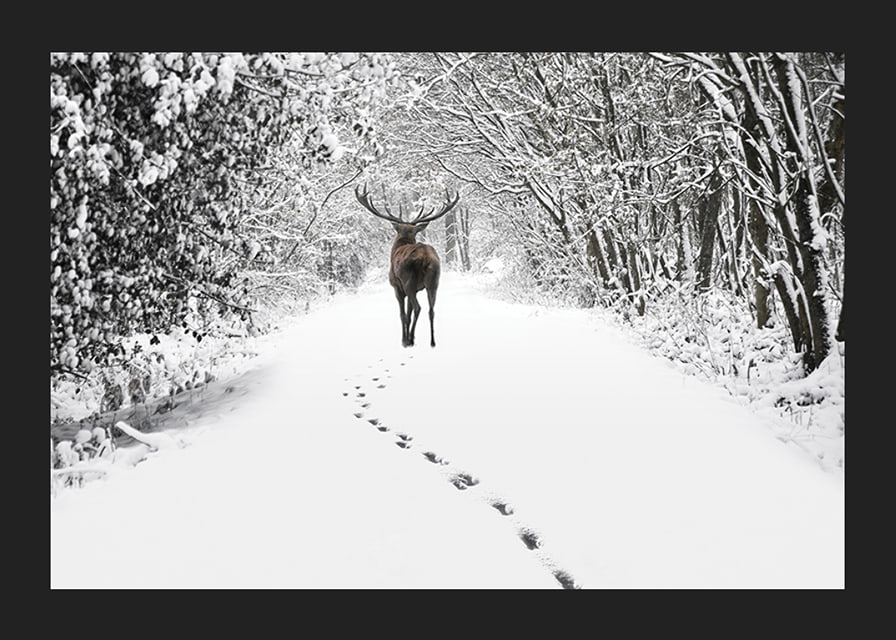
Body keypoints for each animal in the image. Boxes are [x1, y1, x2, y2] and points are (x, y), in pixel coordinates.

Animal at [355, 183, 460, 348]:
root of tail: (425, 257)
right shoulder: (416, 289)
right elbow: (409, 314)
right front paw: (412, 337)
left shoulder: (397, 287)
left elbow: (403, 314)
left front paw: (404, 339)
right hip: (434, 281)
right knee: (431, 310)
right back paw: (432, 342)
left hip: (409, 280)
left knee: (418, 308)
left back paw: (409, 340)